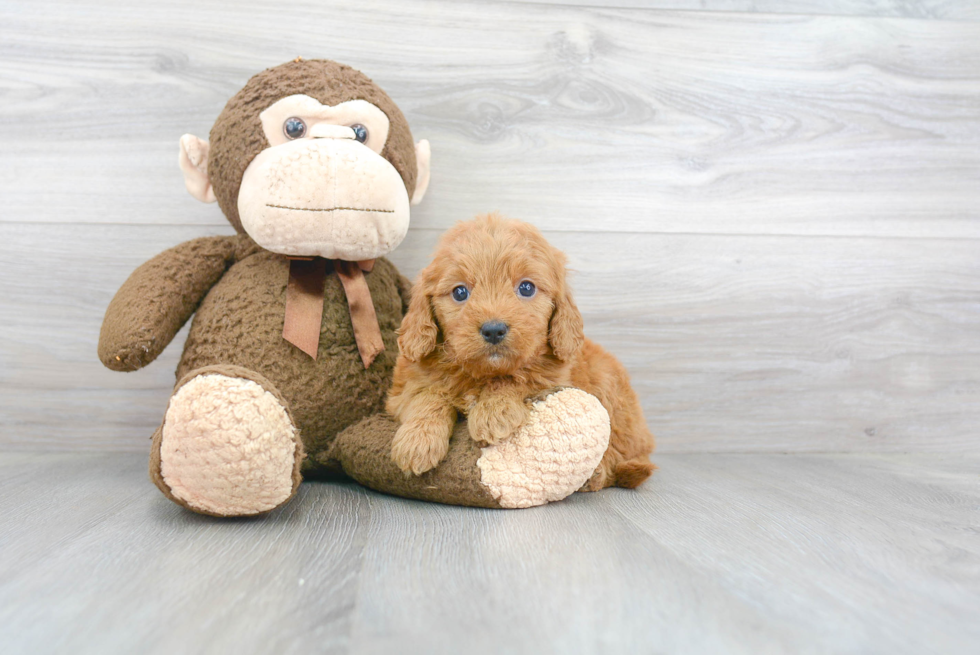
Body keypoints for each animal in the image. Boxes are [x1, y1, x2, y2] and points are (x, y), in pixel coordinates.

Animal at [386, 215, 656, 492]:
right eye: (460, 292)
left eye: (526, 288)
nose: (494, 330)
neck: (483, 373)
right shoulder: (404, 387)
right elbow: (427, 396)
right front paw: (417, 441)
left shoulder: (552, 379)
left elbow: (518, 377)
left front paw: (494, 412)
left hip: (609, 389)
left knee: (618, 451)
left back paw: (597, 473)